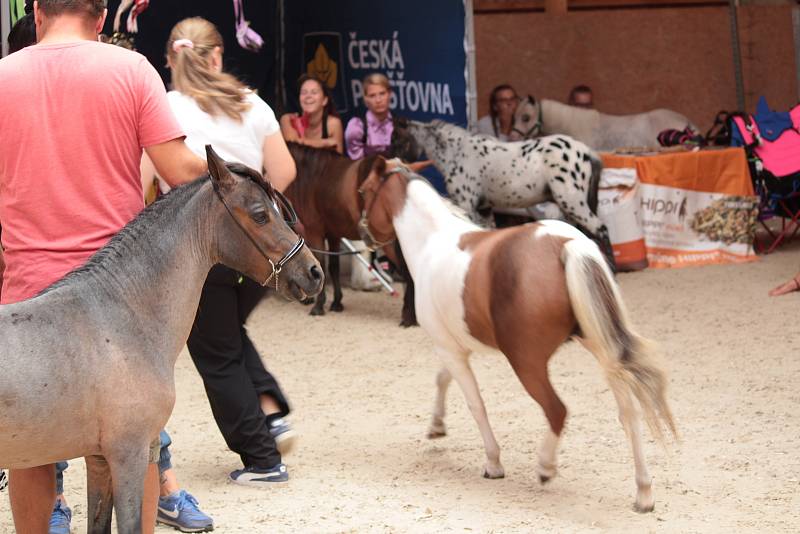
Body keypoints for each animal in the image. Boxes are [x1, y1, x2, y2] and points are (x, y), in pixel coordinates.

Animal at [360, 163, 680, 516]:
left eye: (364, 190)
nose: (364, 234)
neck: (432, 242)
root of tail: (567, 243)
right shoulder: (456, 347)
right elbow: (442, 379)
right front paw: (437, 425)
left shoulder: (449, 348)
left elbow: (475, 404)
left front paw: (493, 463)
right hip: (602, 349)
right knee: (629, 415)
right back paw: (644, 493)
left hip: (527, 362)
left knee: (557, 410)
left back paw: (545, 468)